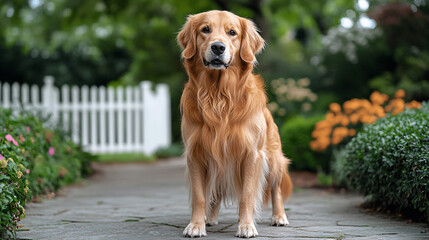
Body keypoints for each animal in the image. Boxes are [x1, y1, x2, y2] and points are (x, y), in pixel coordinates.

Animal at [176, 10, 290, 237]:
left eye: (232, 32)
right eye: (205, 29)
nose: (218, 47)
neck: (218, 96)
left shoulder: (251, 155)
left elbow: (247, 196)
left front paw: (246, 226)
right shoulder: (195, 154)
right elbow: (200, 197)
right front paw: (196, 225)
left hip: (274, 159)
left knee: (276, 189)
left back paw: (279, 216)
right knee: (216, 193)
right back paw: (210, 219)